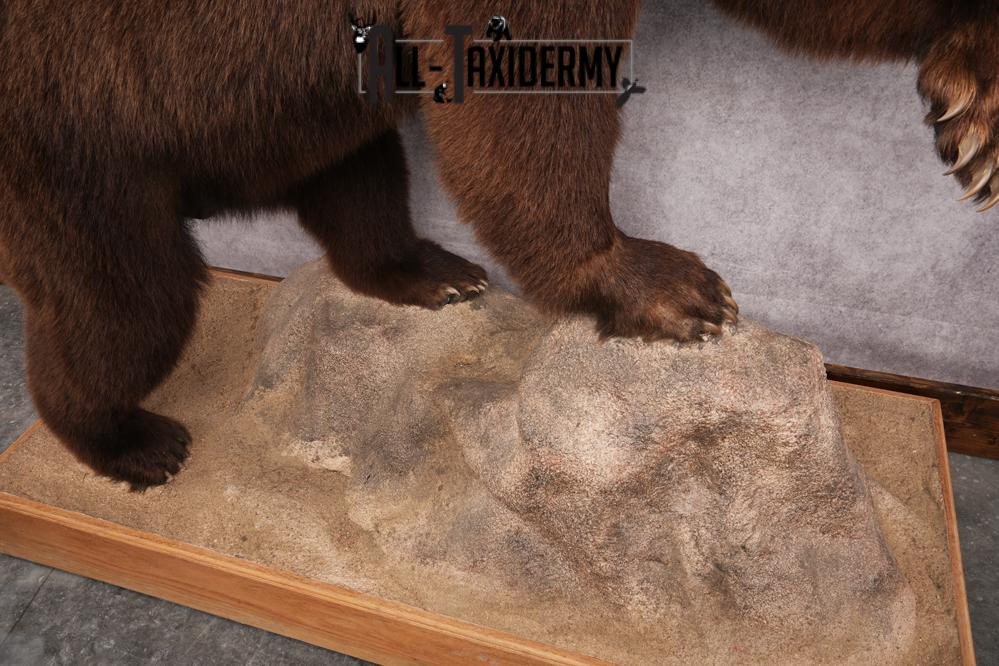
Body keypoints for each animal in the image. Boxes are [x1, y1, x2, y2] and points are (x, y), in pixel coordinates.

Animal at [0, 0, 994, 489]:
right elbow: (522, 81)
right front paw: (669, 284)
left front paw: (972, 111)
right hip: (75, 141)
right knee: (131, 299)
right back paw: (131, 442)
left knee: (363, 182)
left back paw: (432, 272)